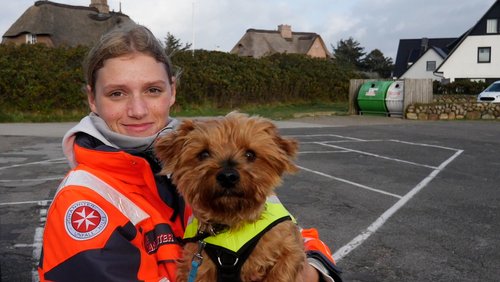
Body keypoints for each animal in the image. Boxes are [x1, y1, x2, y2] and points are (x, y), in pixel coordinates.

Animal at [155, 112, 304, 282]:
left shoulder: (290, 249)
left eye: (250, 154)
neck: (230, 223)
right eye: (203, 154)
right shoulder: (198, 266)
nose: (227, 176)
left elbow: (281, 271)